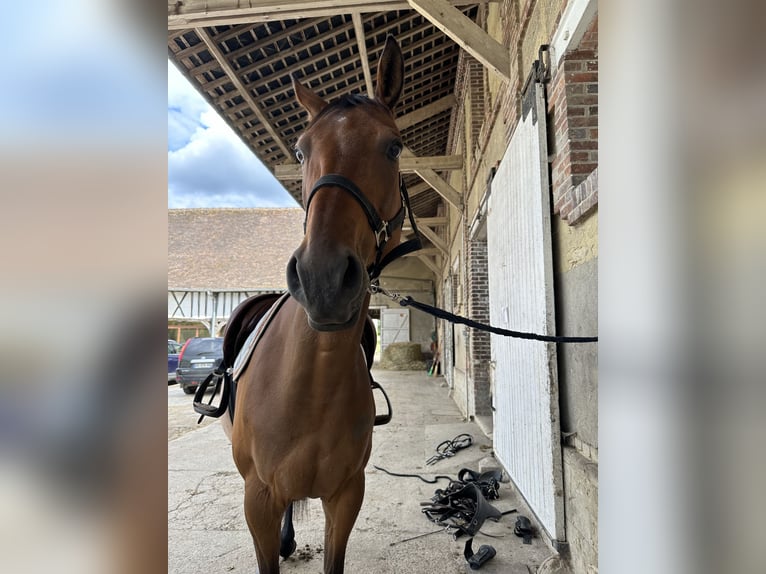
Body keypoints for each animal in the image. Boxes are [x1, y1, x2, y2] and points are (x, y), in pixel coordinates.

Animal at [226, 38, 412, 572]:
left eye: (393, 147)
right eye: (301, 149)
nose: (323, 279)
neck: (309, 385)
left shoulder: (347, 496)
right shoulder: (257, 500)